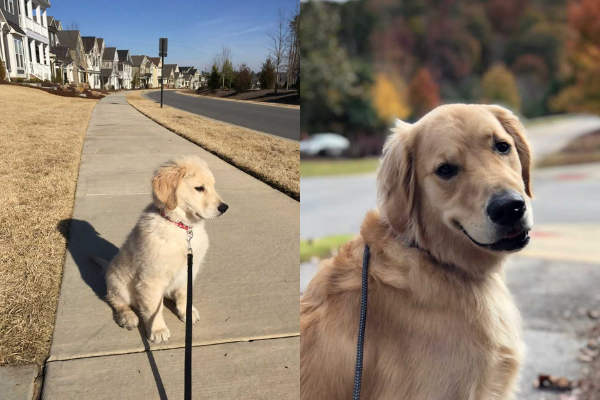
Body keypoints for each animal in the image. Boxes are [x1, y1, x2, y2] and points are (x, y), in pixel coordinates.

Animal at [94, 155, 227, 342]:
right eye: (199, 188)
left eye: (214, 186)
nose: (224, 208)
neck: (182, 227)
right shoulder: (151, 278)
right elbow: (154, 309)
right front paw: (158, 330)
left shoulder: (188, 272)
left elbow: (185, 294)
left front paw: (187, 311)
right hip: (119, 283)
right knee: (114, 299)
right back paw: (128, 316)